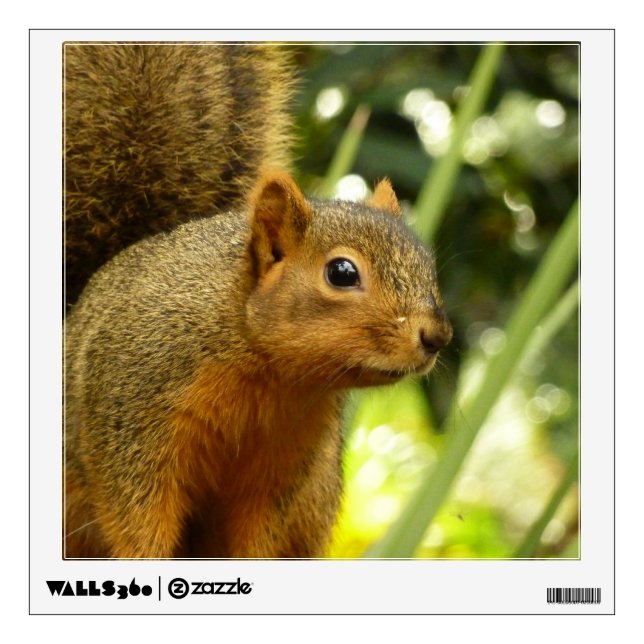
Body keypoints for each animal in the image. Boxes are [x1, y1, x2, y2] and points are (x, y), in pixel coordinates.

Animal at [63, 43, 453, 559]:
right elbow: (137, 519)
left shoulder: (283, 467)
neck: (268, 375)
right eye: (342, 273)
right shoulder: (132, 422)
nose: (437, 336)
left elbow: (259, 534)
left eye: (427, 263)